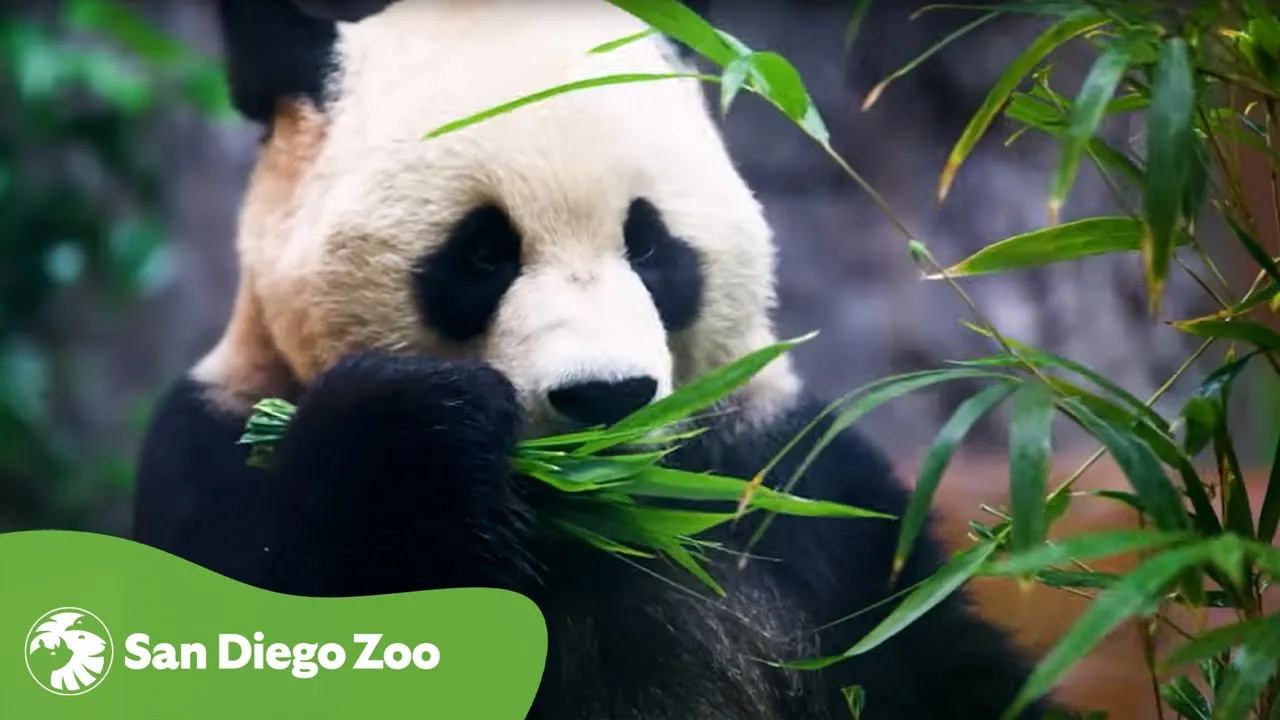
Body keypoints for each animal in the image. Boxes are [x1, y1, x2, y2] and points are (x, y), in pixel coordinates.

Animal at [131, 1, 1057, 718]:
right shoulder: (213, 466)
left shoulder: (799, 494)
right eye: (483, 254)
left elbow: (941, 665)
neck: (593, 509)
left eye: (647, 244)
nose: (607, 396)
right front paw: (416, 442)